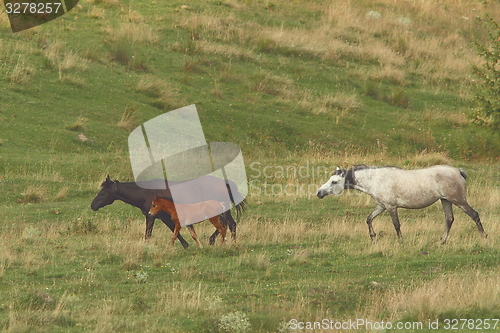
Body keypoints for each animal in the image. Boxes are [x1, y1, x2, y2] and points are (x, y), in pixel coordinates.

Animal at [90, 175, 246, 248]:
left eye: (103, 193)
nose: (93, 205)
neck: (147, 192)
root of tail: (226, 183)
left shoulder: (152, 216)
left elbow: (148, 234)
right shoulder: (164, 217)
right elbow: (175, 231)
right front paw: (186, 245)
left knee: (228, 224)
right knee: (230, 224)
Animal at [316, 164, 488, 244]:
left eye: (334, 181)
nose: (319, 193)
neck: (376, 180)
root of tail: (458, 171)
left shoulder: (391, 207)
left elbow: (396, 225)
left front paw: (400, 242)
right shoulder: (382, 206)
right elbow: (369, 219)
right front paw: (373, 238)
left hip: (458, 200)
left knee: (474, 215)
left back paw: (484, 237)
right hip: (445, 201)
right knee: (449, 219)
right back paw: (441, 241)